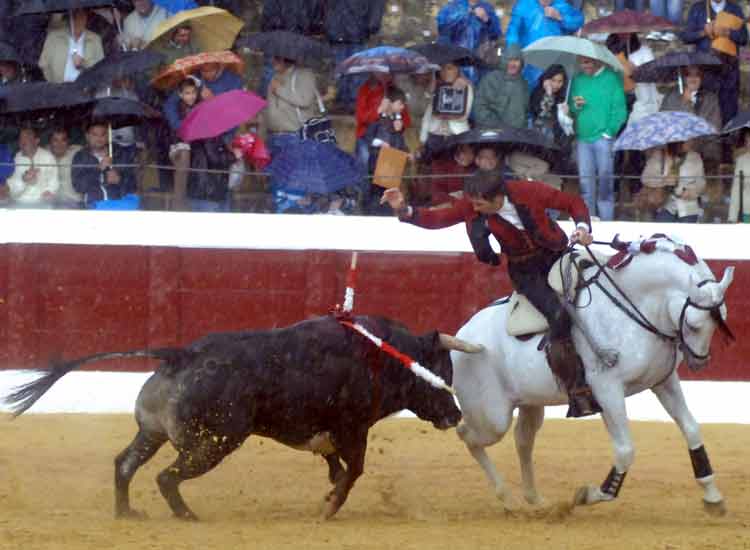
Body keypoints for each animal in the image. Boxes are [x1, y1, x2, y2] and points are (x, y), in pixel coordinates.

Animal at [4, 316, 470, 520]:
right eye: (443, 376)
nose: (455, 415)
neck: (382, 358)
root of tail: (182, 353)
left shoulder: (327, 433)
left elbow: (335, 465)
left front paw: (327, 495)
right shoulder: (353, 429)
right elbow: (353, 470)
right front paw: (330, 507)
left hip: (152, 432)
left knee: (125, 464)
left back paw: (127, 513)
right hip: (218, 441)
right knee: (167, 477)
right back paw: (186, 516)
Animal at [452, 238, 736, 516]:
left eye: (721, 319)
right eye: (693, 325)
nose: (699, 362)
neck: (633, 305)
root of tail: (463, 334)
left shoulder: (663, 382)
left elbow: (691, 430)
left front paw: (713, 497)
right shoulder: (607, 389)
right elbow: (625, 450)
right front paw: (586, 495)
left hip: (530, 403)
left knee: (522, 439)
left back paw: (534, 499)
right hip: (492, 418)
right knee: (467, 435)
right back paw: (508, 498)